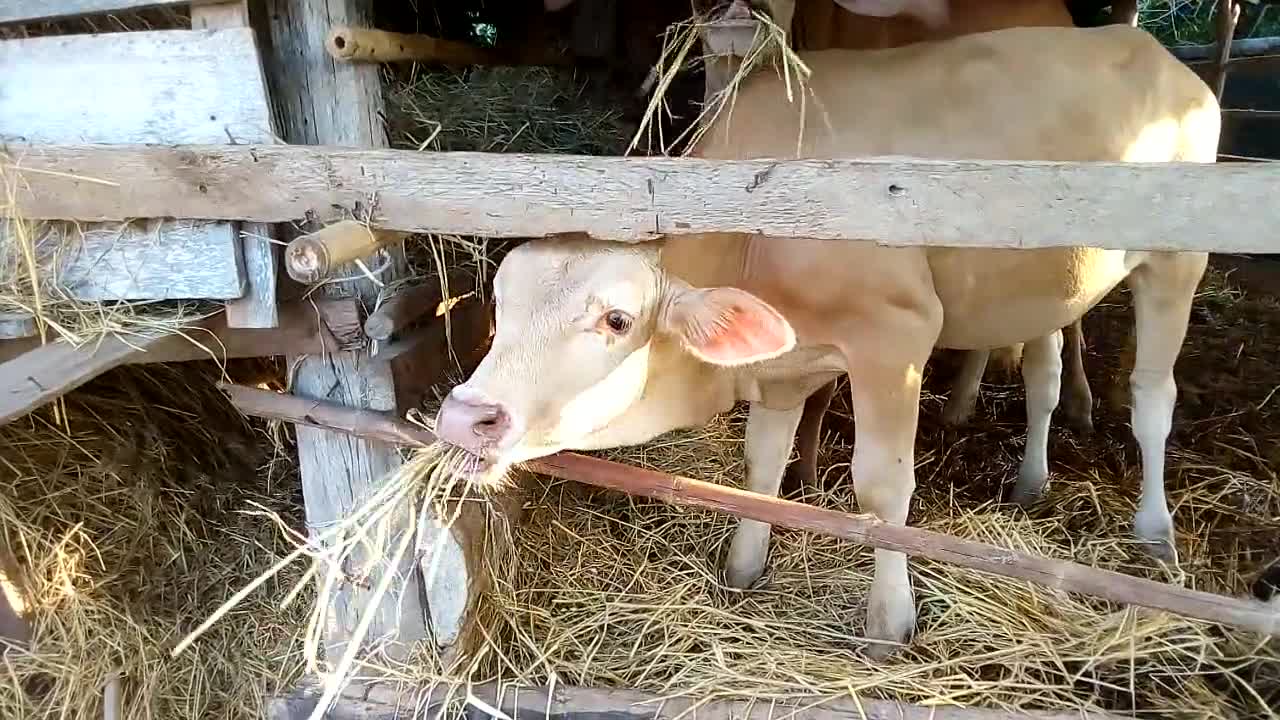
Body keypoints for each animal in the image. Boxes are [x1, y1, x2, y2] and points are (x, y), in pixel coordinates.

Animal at [435, 26, 1213, 655]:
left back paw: (1154, 531)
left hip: (1177, 261)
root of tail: (1156, 52)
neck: (760, 230)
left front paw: (889, 621)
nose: (466, 417)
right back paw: (1030, 481)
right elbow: (761, 466)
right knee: (1042, 375)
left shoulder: (895, 336)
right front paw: (744, 567)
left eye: (617, 320)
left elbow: (883, 488)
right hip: (1049, 281)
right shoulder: (782, 368)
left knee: (1152, 396)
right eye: (502, 303)